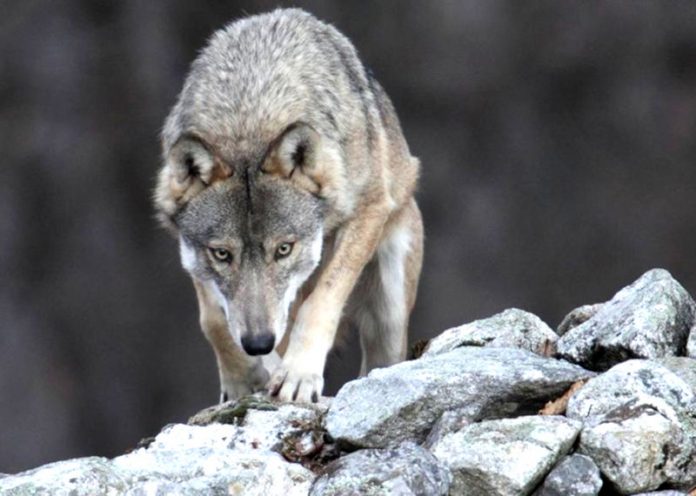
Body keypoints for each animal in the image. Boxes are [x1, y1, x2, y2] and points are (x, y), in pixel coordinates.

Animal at [154, 7, 422, 404]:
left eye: (284, 249)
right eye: (222, 254)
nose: (258, 343)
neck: (248, 118)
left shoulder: (370, 207)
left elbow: (322, 299)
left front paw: (297, 373)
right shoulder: (191, 254)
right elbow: (214, 320)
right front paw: (245, 376)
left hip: (389, 314)